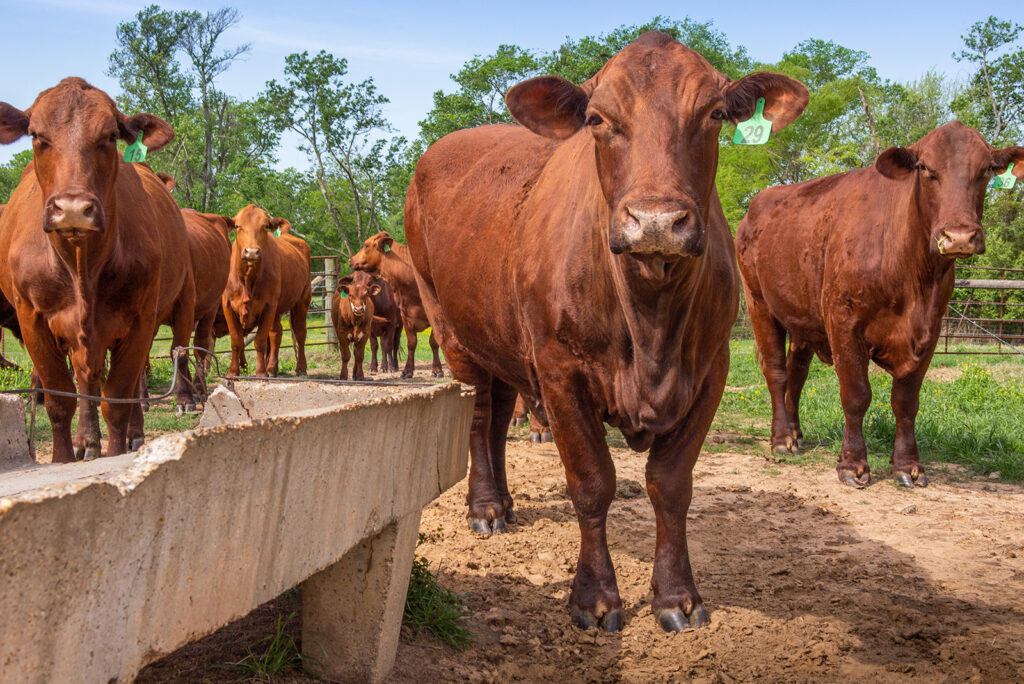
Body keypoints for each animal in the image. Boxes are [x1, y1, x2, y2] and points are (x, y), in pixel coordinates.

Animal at [0, 77, 195, 462]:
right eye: (36, 135)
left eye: (110, 135)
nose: (73, 208)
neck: (82, 266)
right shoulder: (32, 319)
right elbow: (60, 401)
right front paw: (64, 458)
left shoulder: (139, 319)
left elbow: (117, 399)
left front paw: (118, 448)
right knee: (86, 379)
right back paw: (85, 441)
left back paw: (133, 432)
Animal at [222, 204, 311, 377]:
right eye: (238, 226)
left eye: (265, 226)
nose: (251, 252)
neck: (248, 279)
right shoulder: (227, 305)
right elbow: (236, 341)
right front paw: (233, 372)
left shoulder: (268, 306)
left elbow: (260, 341)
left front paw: (261, 372)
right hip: (278, 309)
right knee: (276, 333)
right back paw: (272, 368)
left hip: (302, 301)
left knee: (300, 332)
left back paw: (300, 368)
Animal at [349, 231, 443, 378]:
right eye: (353, 280)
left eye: (366, 245)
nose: (351, 260)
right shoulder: (405, 315)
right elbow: (411, 343)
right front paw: (407, 371)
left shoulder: (436, 314)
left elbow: (433, 342)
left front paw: (437, 370)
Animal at [404, 31, 808, 632]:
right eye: (597, 118)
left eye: (714, 114)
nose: (657, 221)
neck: (650, 322)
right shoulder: (559, 371)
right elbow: (592, 483)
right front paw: (595, 598)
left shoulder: (709, 371)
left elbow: (670, 485)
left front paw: (676, 596)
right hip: (452, 331)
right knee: (478, 419)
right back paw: (484, 508)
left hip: (502, 341)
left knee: (498, 417)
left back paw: (505, 503)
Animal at [736, 121, 1024, 489]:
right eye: (926, 168)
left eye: (986, 170)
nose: (959, 236)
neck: (915, 280)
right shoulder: (843, 321)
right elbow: (856, 394)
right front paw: (853, 464)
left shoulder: (930, 330)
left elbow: (906, 401)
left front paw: (908, 466)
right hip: (759, 303)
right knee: (776, 371)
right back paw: (782, 439)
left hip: (802, 318)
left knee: (797, 372)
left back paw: (797, 433)